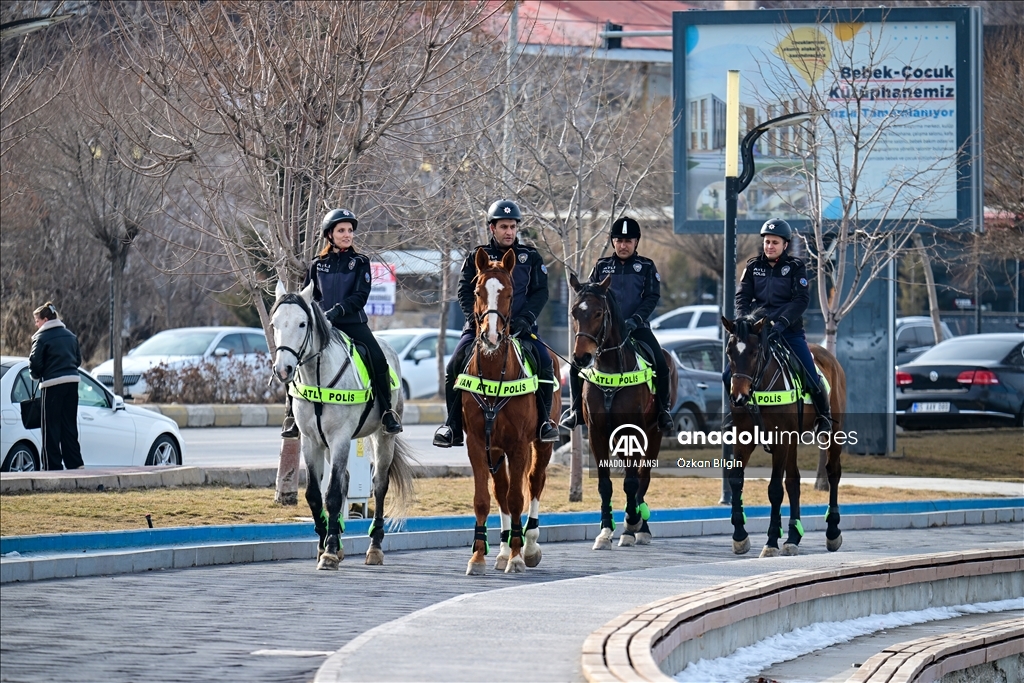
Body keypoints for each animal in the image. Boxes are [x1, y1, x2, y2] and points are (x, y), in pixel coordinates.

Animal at [272, 280, 419, 569]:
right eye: (274, 323)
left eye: (302, 324)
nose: (283, 370)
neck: (318, 376)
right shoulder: (311, 441)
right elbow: (315, 495)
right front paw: (325, 544)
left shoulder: (340, 437)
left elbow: (332, 495)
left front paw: (329, 552)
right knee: (347, 480)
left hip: (383, 438)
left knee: (379, 484)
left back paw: (375, 547)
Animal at [462, 248, 561, 573]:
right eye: (478, 291)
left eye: (509, 292)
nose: (491, 337)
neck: (495, 372)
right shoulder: (478, 443)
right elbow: (485, 498)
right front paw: (478, 556)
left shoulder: (519, 444)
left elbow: (518, 498)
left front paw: (518, 557)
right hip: (496, 449)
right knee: (501, 489)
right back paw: (504, 548)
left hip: (541, 444)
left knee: (534, 483)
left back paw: (528, 546)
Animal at [573, 272, 675, 548]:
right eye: (574, 312)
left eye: (598, 313)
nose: (580, 358)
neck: (611, 368)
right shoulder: (597, 433)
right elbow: (604, 484)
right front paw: (605, 531)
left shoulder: (634, 431)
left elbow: (632, 481)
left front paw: (633, 521)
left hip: (653, 433)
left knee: (643, 476)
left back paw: (640, 527)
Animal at [720, 313, 847, 557]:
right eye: (729, 352)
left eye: (754, 352)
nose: (738, 397)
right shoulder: (744, 437)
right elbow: (736, 479)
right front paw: (740, 536)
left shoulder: (781, 440)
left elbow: (775, 489)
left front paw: (770, 540)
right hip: (793, 441)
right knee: (794, 480)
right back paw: (793, 537)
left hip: (833, 433)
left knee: (833, 472)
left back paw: (833, 531)